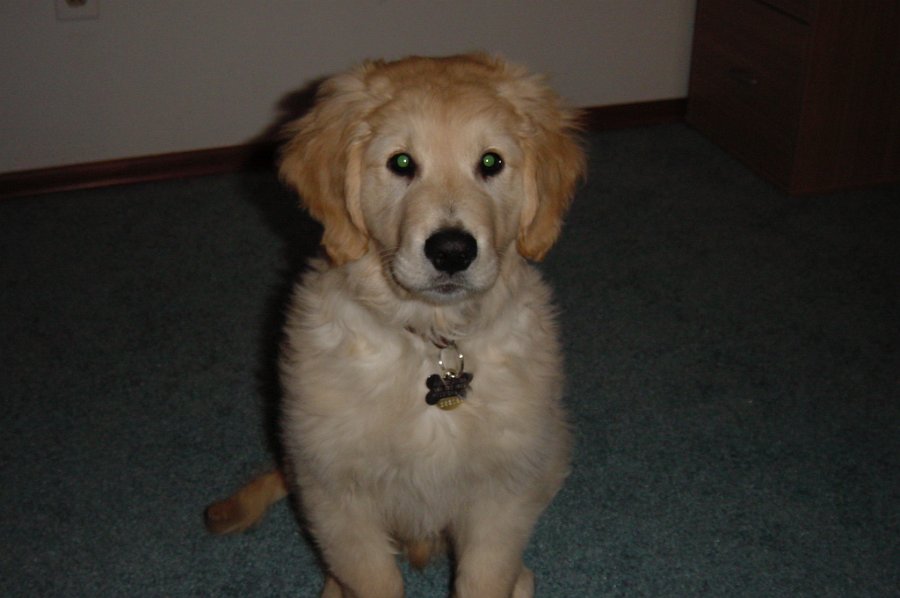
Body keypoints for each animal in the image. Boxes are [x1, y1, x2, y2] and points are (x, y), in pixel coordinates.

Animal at [205, 54, 585, 598]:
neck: (433, 343)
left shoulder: (502, 495)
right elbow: (372, 579)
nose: (452, 251)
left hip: (548, 446)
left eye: (491, 162)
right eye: (401, 163)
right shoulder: (336, 493)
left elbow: (486, 576)